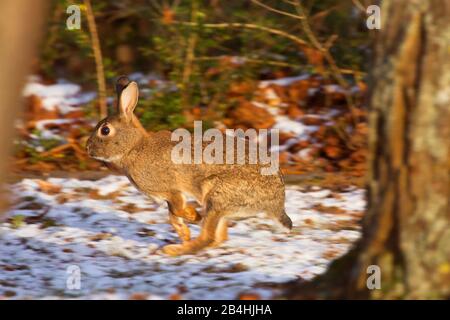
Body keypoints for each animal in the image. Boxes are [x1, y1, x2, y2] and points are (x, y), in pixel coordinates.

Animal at [86, 76, 294, 256]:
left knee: (209, 237)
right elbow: (172, 216)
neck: (134, 147)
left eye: (105, 130)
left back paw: (175, 250)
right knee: (219, 238)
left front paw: (194, 217)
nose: (88, 148)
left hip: (217, 196)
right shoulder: (170, 197)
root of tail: (276, 203)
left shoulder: (172, 189)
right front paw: (185, 232)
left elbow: (177, 210)